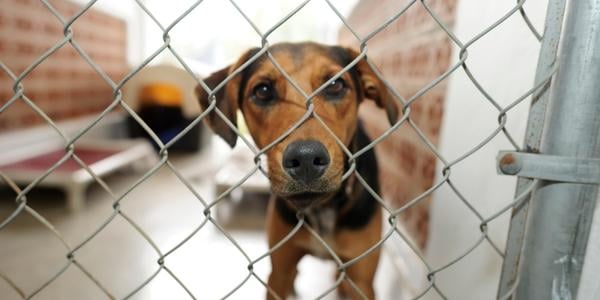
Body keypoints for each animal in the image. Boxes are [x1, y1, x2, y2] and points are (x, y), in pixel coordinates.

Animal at [196, 42, 398, 300]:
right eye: (263, 90)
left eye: (336, 85)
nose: (306, 159)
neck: (322, 208)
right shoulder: (279, 270)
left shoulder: (361, 279)